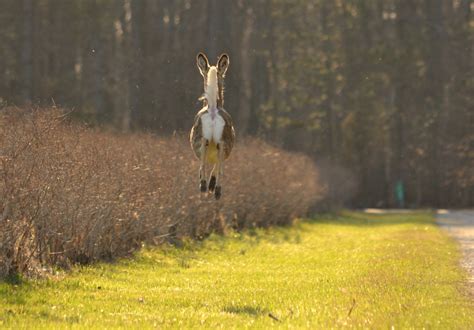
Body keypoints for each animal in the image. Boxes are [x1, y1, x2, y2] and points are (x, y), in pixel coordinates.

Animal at [191, 52, 235, 200]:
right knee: (217, 165)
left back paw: (207, 187)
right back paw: (212, 188)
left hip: (203, 139)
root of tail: (212, 112)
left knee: (205, 163)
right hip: (223, 141)